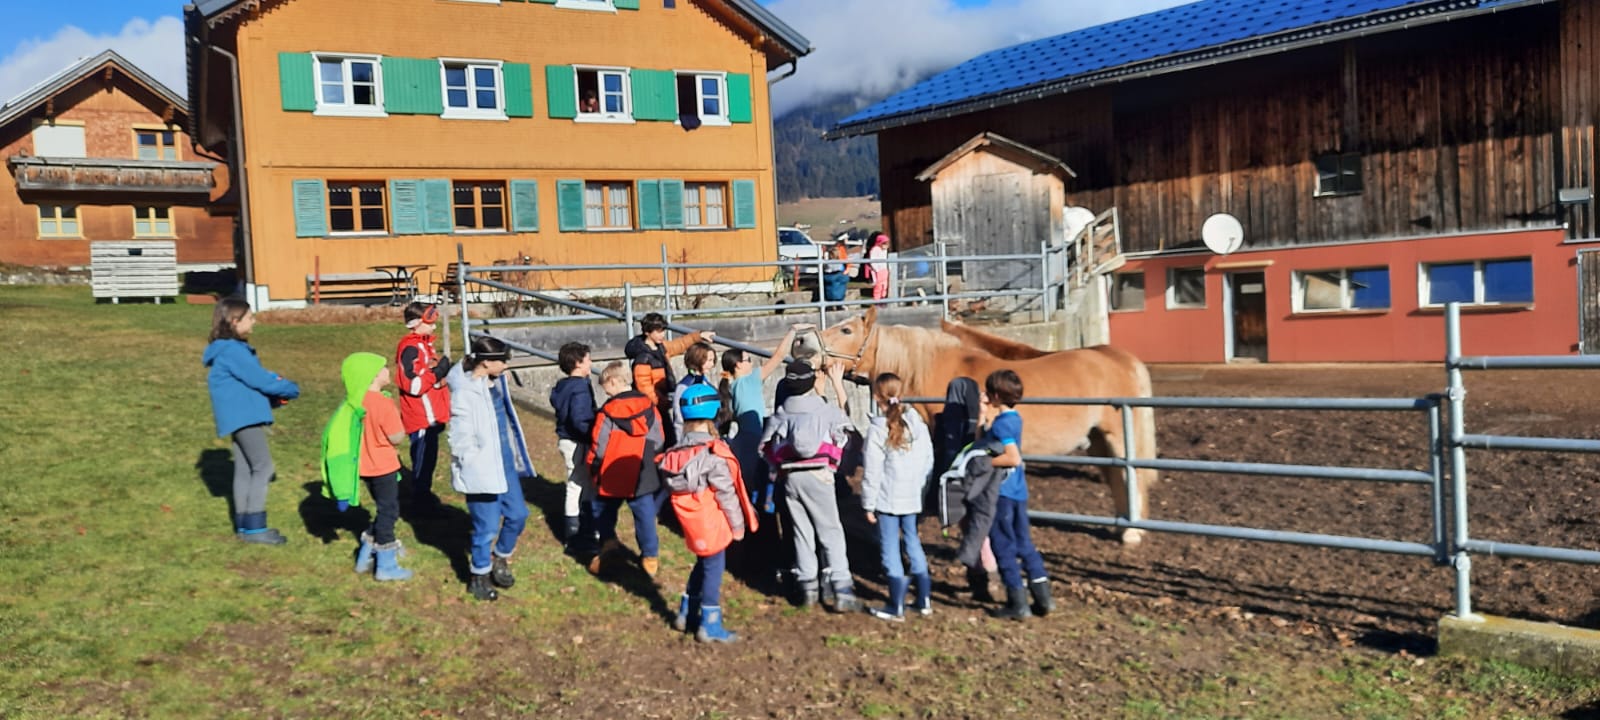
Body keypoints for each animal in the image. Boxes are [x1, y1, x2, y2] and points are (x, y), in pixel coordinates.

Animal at [815, 308, 1159, 545]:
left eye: (846, 329)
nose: (806, 341)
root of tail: (1117, 357)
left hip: (1119, 435)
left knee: (1132, 475)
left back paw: (1132, 533)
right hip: (1099, 438)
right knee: (1117, 477)